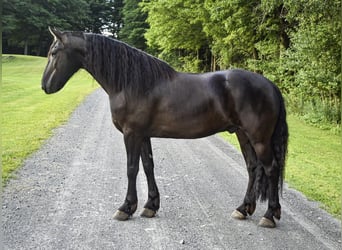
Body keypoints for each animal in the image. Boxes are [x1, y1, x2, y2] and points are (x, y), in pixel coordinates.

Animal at [42, 28, 288, 228]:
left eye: (54, 52)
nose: (45, 86)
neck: (133, 84)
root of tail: (270, 85)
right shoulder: (142, 135)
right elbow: (148, 166)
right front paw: (150, 205)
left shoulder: (131, 134)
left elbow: (132, 168)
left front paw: (126, 208)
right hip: (242, 134)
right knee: (253, 168)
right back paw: (243, 209)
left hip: (259, 138)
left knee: (271, 169)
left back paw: (269, 215)